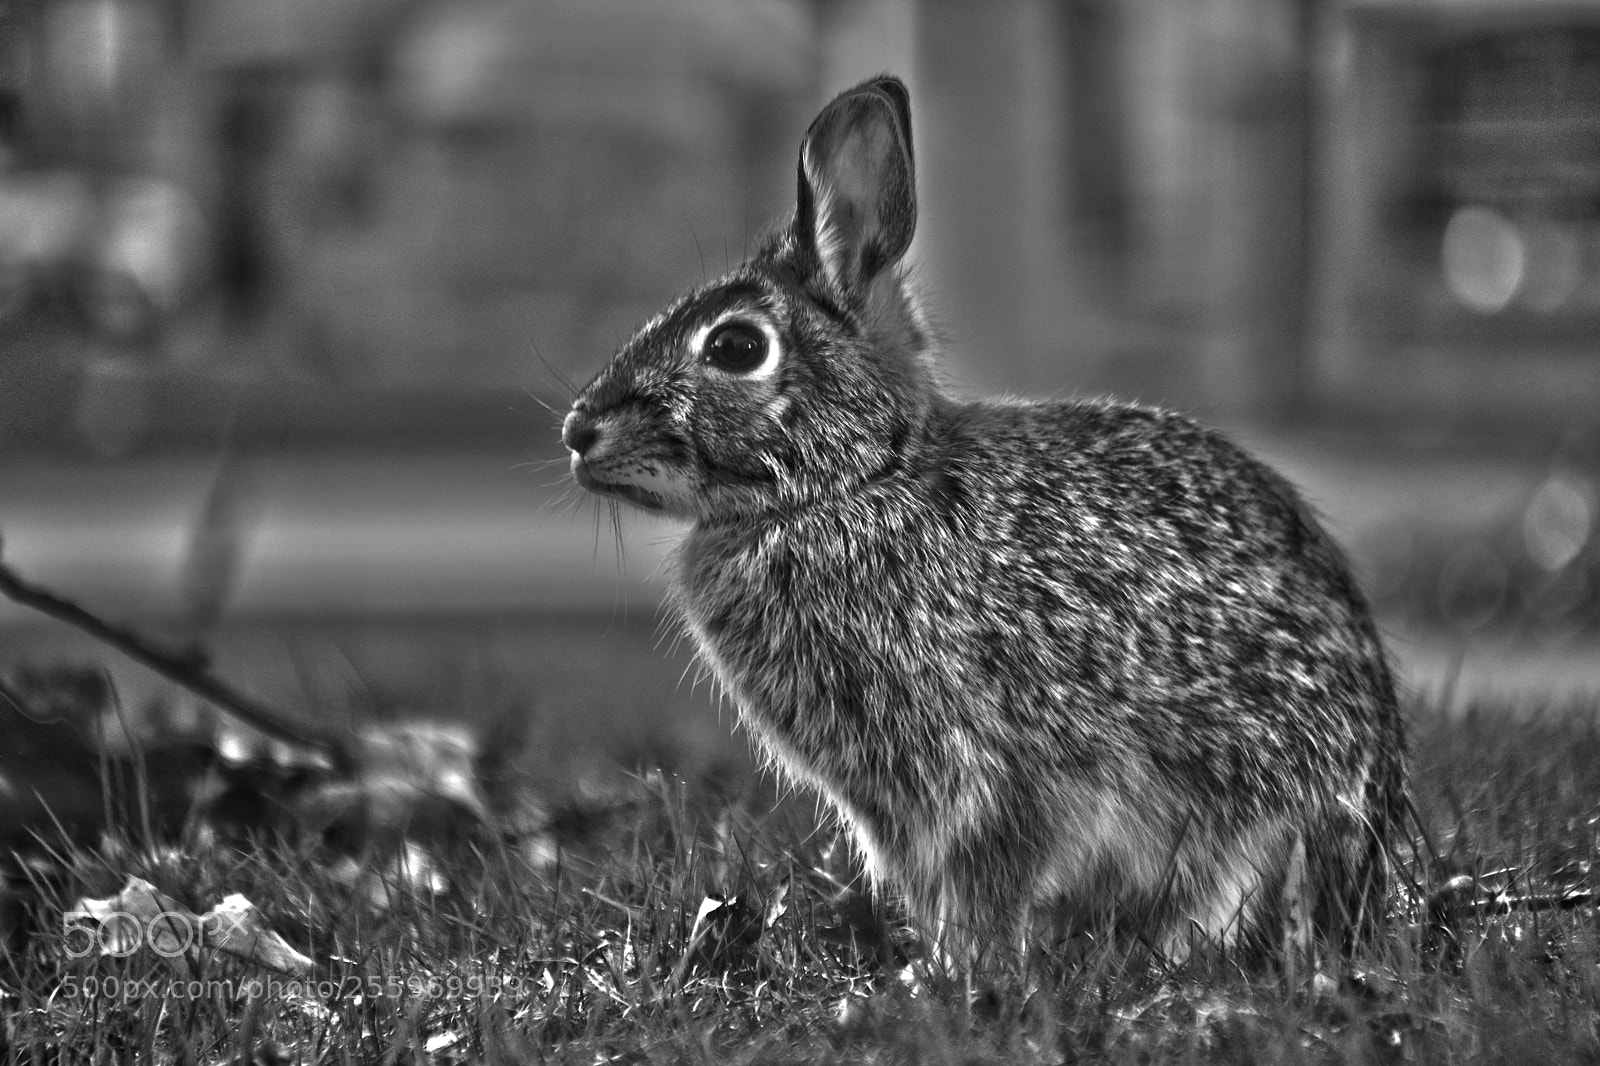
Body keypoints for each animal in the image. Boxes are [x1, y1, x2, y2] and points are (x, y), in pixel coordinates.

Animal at [560, 75, 1406, 970]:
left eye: (733, 347)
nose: (580, 432)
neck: (860, 480)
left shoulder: (979, 771)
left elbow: (981, 877)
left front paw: (950, 971)